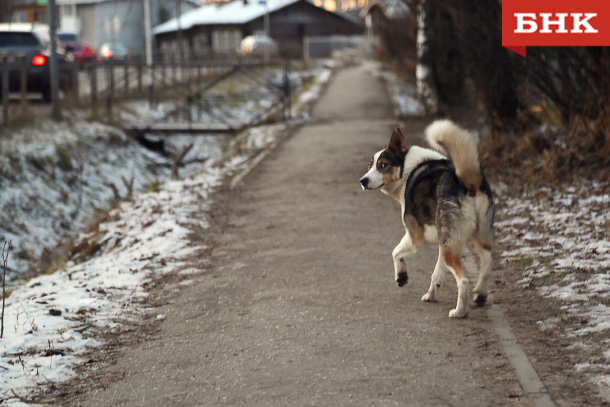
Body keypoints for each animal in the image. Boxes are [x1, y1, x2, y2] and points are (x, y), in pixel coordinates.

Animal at [356, 121, 494, 318]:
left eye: (383, 165)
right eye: (370, 166)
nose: (363, 181)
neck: (407, 168)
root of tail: (467, 181)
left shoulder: (415, 235)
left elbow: (395, 252)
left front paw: (401, 277)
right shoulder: (442, 241)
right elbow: (437, 273)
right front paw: (431, 295)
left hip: (451, 246)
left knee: (463, 280)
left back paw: (459, 312)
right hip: (474, 237)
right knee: (488, 263)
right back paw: (481, 295)